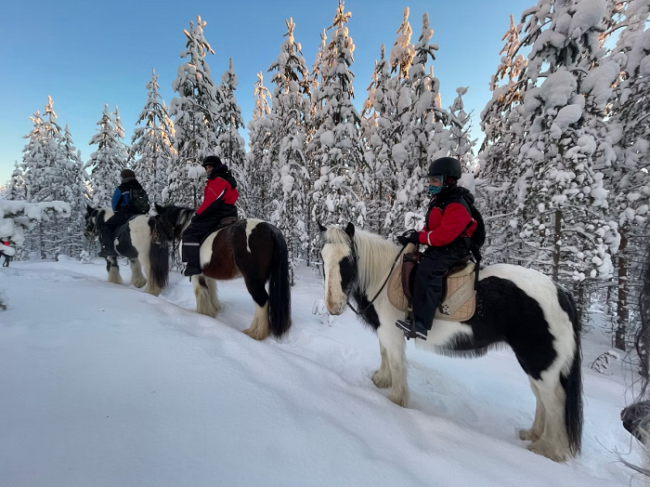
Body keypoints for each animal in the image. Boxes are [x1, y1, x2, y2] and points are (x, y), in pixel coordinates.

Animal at [153, 204, 290, 342]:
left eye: (158, 221)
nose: (154, 238)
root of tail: (271, 230)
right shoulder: (207, 273)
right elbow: (211, 290)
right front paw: (213, 310)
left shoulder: (195, 273)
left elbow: (200, 291)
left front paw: (203, 314)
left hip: (253, 280)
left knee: (262, 301)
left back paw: (256, 333)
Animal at [318, 223, 584, 464]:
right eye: (323, 257)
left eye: (348, 260)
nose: (332, 306)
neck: (383, 276)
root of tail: (562, 292)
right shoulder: (385, 332)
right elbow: (384, 355)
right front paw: (381, 380)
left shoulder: (392, 332)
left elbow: (396, 363)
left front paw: (396, 400)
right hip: (534, 362)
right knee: (541, 396)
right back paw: (532, 435)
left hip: (540, 362)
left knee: (555, 401)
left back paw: (548, 450)